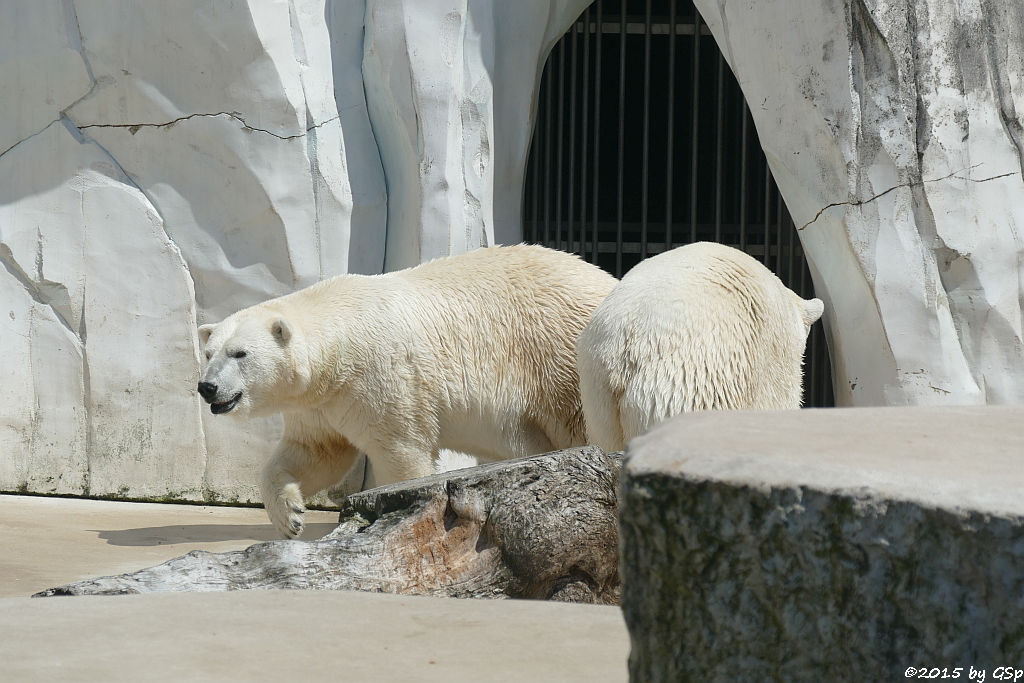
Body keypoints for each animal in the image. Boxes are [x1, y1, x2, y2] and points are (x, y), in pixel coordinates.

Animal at [197, 245, 614, 540]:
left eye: (240, 353)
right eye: (209, 353)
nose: (207, 387)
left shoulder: (380, 379)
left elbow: (402, 453)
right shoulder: (320, 403)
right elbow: (316, 452)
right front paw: (291, 517)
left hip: (557, 360)